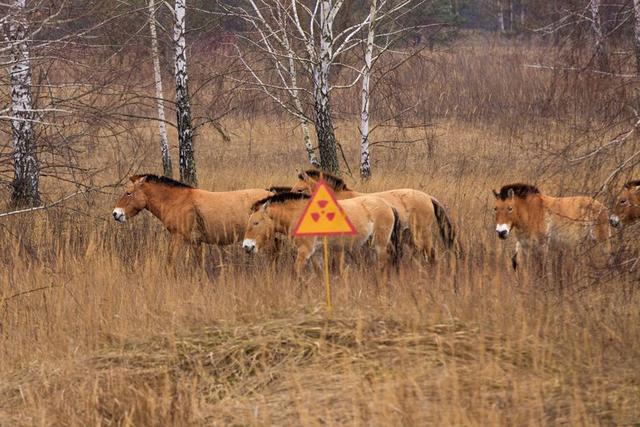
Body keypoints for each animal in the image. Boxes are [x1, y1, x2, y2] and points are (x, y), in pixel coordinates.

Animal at [240, 192, 400, 276]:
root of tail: (388, 205)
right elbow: (319, 272)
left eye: (256, 223)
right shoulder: (315, 253)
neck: (299, 214)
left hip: (379, 244)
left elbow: (296, 271)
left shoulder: (305, 251)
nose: (247, 246)